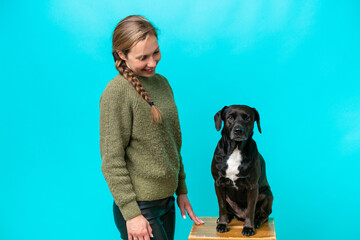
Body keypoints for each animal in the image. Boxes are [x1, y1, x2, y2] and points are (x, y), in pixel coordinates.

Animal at [211, 105, 272, 236]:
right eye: (230, 117)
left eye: (248, 118)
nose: (238, 130)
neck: (236, 149)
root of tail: (240, 216)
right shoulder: (218, 183)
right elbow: (222, 207)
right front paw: (222, 224)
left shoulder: (252, 186)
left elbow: (250, 210)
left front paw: (248, 227)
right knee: (228, 211)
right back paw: (226, 219)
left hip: (267, 195)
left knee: (264, 215)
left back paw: (257, 221)